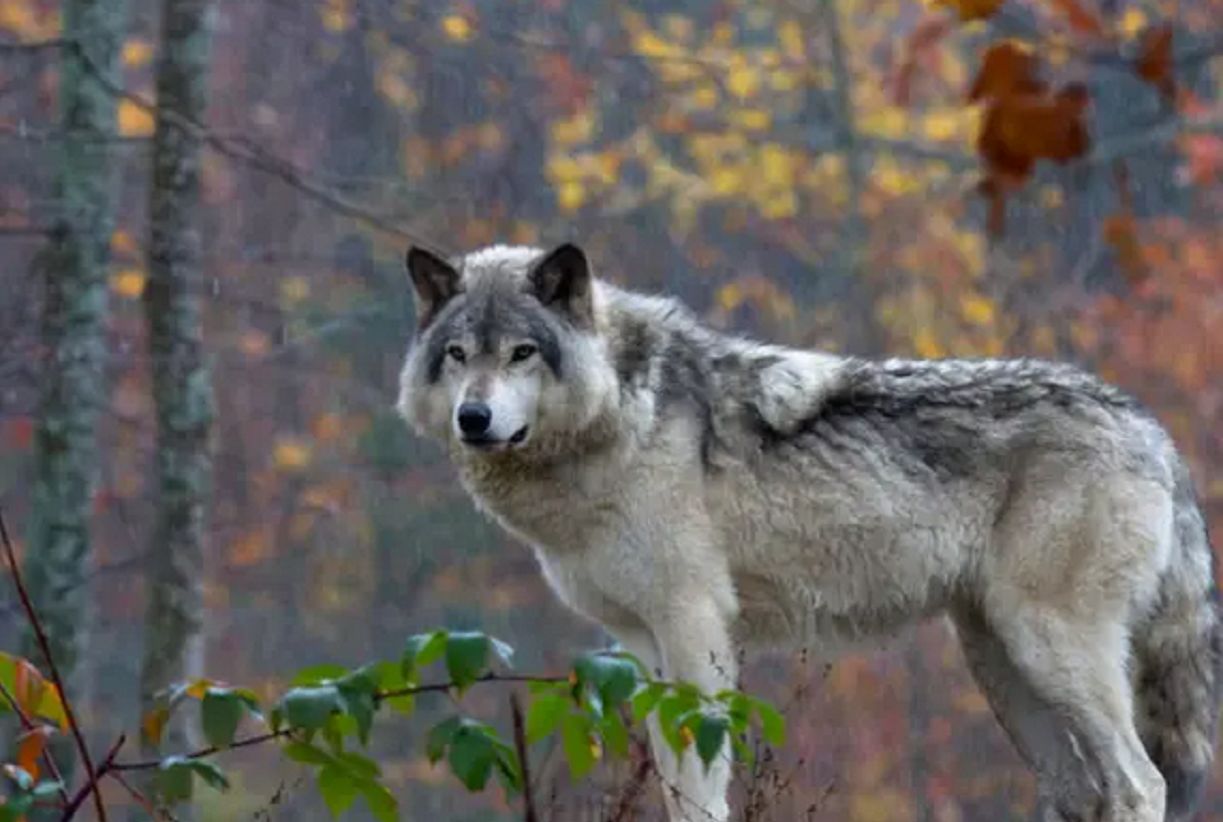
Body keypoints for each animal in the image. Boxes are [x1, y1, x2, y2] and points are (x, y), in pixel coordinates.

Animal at [396, 240, 1218, 817]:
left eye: (522, 353)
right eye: (458, 355)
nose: (474, 418)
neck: (621, 418)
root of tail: (1152, 430)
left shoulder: (694, 624)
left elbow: (701, 786)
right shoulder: (639, 641)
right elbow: (671, 782)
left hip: (1048, 648)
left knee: (1141, 784)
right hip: (1001, 664)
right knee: (1085, 791)